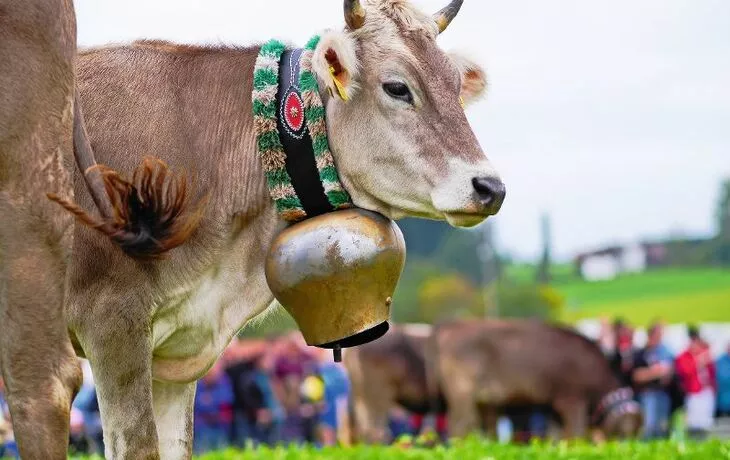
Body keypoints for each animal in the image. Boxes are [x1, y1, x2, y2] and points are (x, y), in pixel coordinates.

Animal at [430, 318, 640, 440]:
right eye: (625, 433)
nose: (628, 444)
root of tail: (450, 327)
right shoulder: (572, 400)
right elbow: (577, 432)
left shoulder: (553, 404)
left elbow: (557, 434)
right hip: (463, 391)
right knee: (461, 424)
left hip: (480, 398)